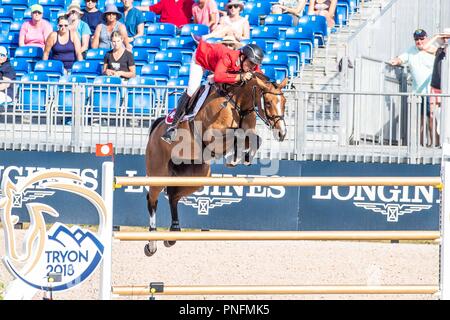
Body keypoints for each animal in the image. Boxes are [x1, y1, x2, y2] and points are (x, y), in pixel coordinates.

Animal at [143, 72, 288, 255]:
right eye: (268, 102)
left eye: (284, 102)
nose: (282, 133)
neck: (238, 104)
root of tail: (156, 128)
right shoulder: (213, 137)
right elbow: (237, 134)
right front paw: (235, 157)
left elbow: (255, 138)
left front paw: (245, 157)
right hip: (158, 172)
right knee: (152, 200)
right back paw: (151, 243)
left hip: (197, 177)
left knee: (174, 196)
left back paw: (172, 235)